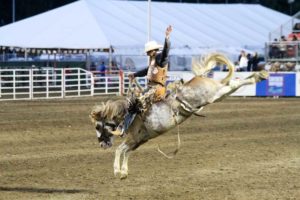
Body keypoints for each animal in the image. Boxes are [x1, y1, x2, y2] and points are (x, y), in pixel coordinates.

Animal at [89, 52, 270, 179]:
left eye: (98, 126)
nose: (102, 144)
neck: (131, 114)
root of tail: (200, 77)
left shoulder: (133, 138)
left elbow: (119, 150)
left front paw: (117, 171)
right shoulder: (139, 140)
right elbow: (126, 152)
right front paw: (124, 172)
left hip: (215, 94)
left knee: (234, 83)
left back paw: (259, 76)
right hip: (218, 94)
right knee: (234, 82)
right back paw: (257, 76)